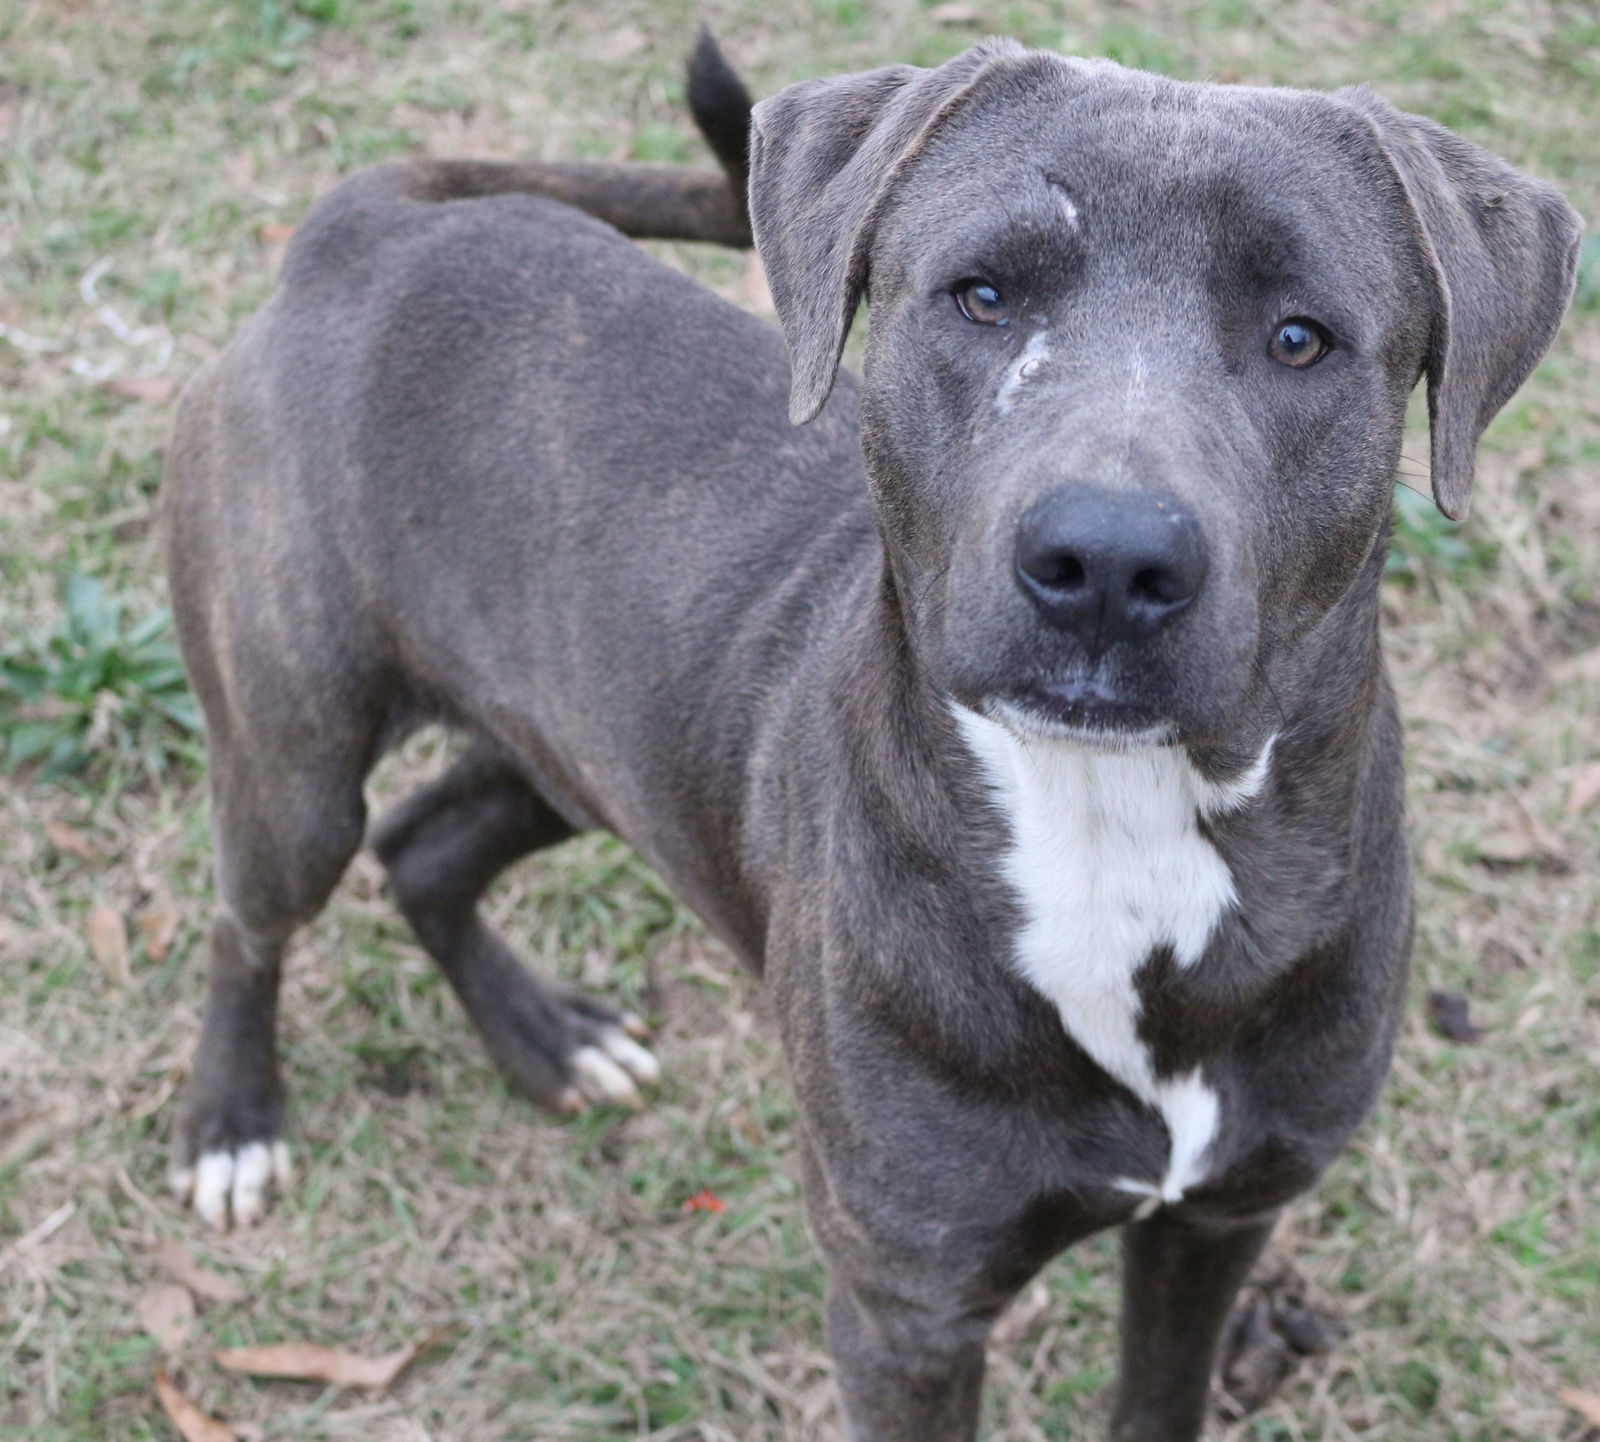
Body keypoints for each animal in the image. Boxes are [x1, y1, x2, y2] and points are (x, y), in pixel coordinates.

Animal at [162, 33, 1574, 1440]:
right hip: (297, 766)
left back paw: (546, 1037)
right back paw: (232, 1120)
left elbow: (1158, 1392)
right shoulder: (908, 1303)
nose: (1107, 560)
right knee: (252, 917)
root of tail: (363, 225)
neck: (1113, 830)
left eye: (1298, 337)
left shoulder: (1220, 1217)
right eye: (982, 295)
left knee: (426, 842)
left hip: (581, 741)